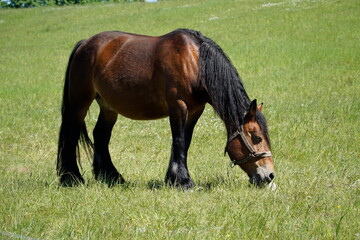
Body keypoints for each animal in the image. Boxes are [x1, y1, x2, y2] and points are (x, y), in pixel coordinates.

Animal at [57, 28, 274, 189]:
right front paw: (184, 182)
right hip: (79, 102)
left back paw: (111, 177)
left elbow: (185, 142)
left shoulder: (195, 111)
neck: (194, 61)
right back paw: (71, 178)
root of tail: (84, 43)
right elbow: (178, 141)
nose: (270, 175)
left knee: (101, 135)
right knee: (71, 134)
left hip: (108, 106)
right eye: (257, 138)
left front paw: (173, 179)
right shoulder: (178, 107)